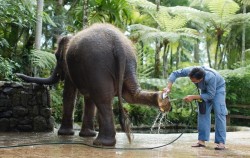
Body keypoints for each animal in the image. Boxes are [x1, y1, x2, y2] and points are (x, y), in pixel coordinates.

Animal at [16, 22, 171, 146]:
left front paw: (65, 134)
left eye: (56, 56)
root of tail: (118, 44)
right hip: (129, 62)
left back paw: (101, 143)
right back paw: (163, 101)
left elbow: (69, 94)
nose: (17, 75)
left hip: (97, 64)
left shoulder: (69, 66)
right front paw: (87, 135)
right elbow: (88, 97)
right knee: (129, 95)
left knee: (102, 99)